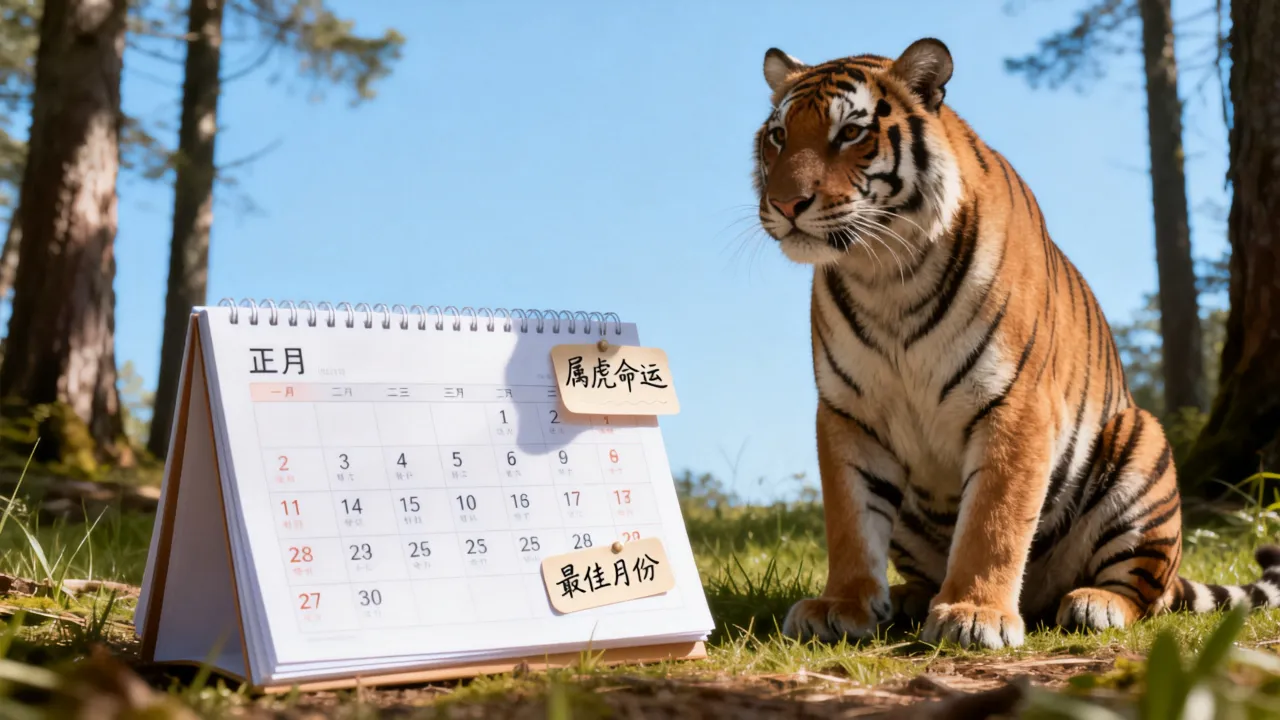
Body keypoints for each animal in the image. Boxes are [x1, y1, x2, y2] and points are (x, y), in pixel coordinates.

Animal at [752, 37, 1280, 649]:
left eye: (851, 133)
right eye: (778, 136)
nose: (785, 204)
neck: (884, 274)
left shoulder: (1014, 402)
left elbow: (994, 520)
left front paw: (974, 613)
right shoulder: (848, 412)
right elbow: (850, 521)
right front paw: (842, 605)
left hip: (1141, 445)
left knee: (1147, 595)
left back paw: (1093, 604)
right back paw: (911, 597)